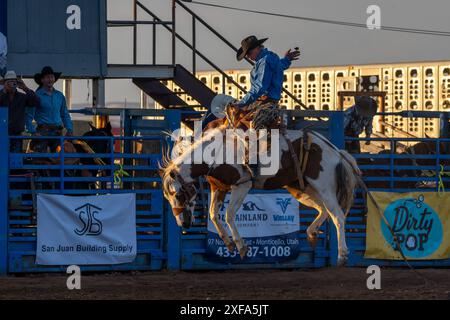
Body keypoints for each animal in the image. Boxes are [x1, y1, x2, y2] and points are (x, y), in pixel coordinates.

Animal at [162, 124, 362, 266]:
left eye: (178, 195)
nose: (183, 224)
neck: (216, 152)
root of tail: (336, 151)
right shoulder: (219, 188)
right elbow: (213, 214)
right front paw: (228, 243)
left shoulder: (242, 185)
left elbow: (229, 215)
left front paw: (241, 247)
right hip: (303, 189)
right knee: (324, 210)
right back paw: (312, 234)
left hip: (324, 186)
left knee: (338, 216)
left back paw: (342, 255)